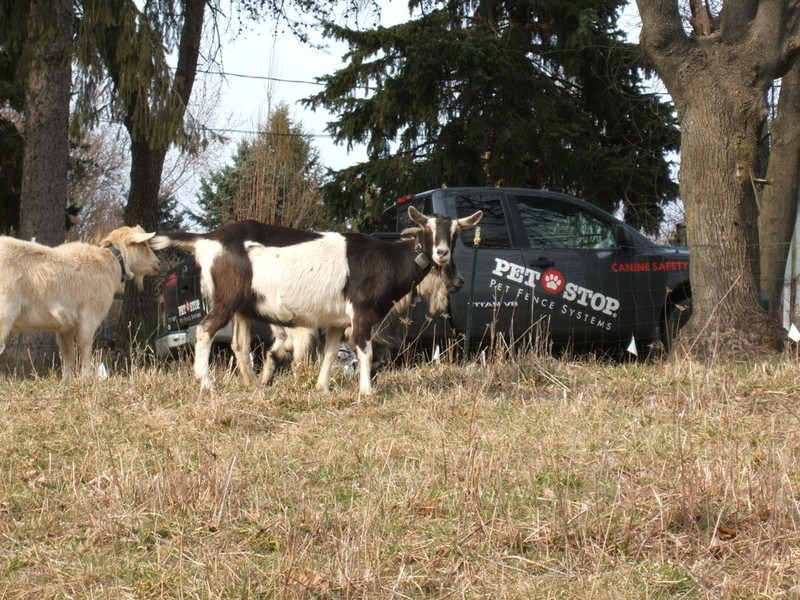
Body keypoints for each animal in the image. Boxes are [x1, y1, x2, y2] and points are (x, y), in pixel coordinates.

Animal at [0, 227, 161, 378]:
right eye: (144, 244)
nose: (158, 264)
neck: (111, 262)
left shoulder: (66, 325)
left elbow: (68, 353)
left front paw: (67, 380)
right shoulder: (89, 316)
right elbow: (85, 346)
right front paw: (86, 377)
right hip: (4, 312)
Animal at [148, 209, 482, 396]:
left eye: (455, 232)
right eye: (427, 229)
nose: (441, 253)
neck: (386, 259)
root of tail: (206, 239)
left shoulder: (335, 320)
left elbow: (332, 352)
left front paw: (322, 388)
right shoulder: (361, 313)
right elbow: (364, 350)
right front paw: (367, 391)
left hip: (242, 307)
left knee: (240, 346)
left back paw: (255, 387)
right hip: (226, 298)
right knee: (204, 331)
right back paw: (206, 383)